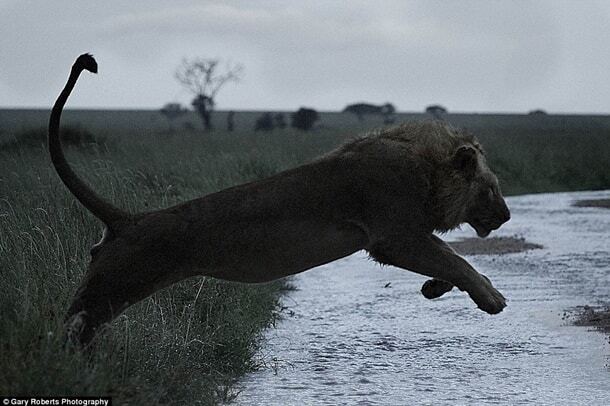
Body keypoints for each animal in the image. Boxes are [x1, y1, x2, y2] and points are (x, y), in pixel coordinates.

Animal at [51, 54, 508, 346]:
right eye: (490, 189)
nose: (505, 216)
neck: (429, 168)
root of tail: (128, 220)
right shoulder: (393, 236)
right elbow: (456, 259)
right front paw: (491, 298)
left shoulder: (406, 236)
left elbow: (447, 257)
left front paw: (435, 287)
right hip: (117, 284)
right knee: (74, 323)